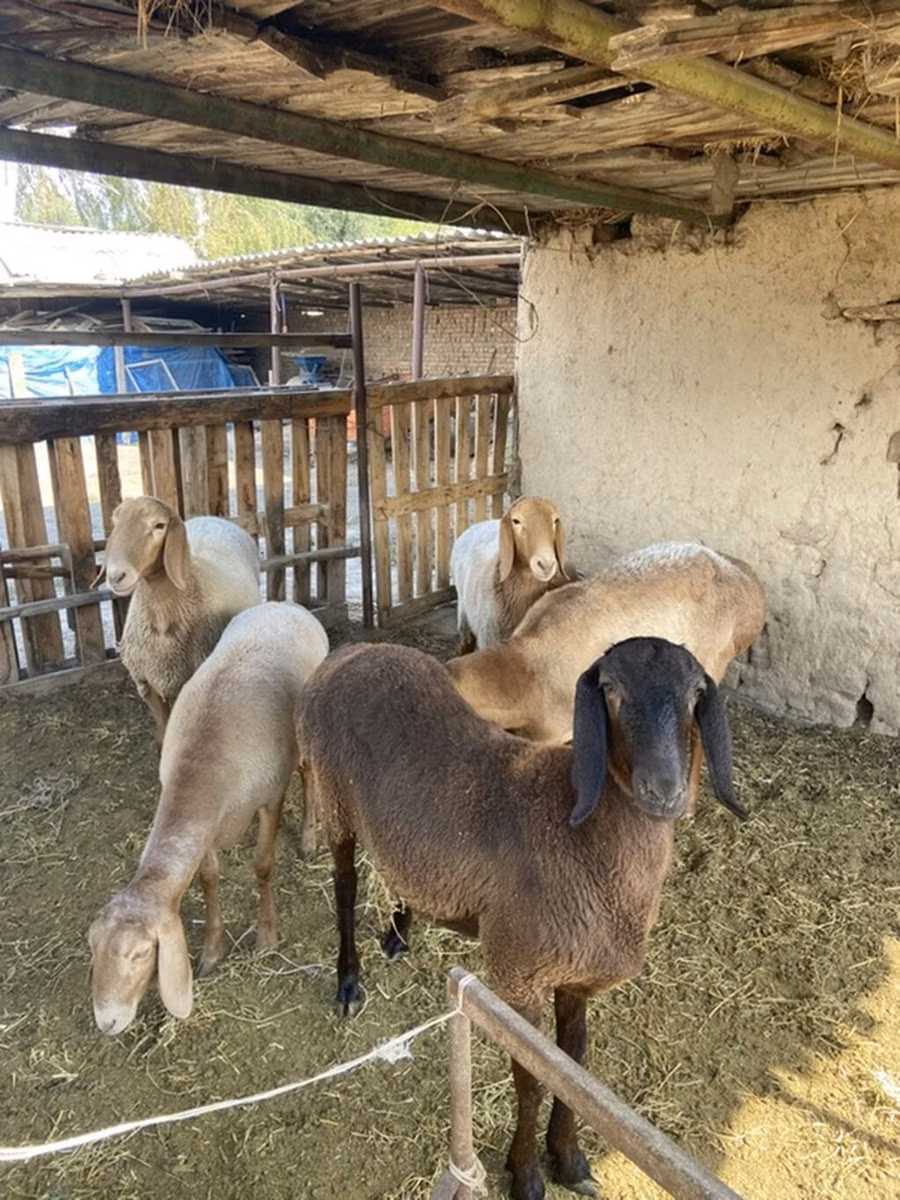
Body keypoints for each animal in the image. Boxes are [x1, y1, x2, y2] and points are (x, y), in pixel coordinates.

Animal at [88, 601, 330, 1035]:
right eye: (93, 948)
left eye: (140, 954)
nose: (107, 1022)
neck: (202, 766)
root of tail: (282, 603)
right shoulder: (206, 828)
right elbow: (209, 878)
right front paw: (213, 951)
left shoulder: (270, 797)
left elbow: (263, 865)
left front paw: (267, 938)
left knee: (307, 774)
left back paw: (307, 836)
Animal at [103, 496, 261, 743]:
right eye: (115, 522)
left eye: (159, 525)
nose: (116, 576)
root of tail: (212, 517)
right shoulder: (147, 684)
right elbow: (162, 731)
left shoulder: (183, 683)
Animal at [296, 636, 742, 1200]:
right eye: (611, 688)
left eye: (696, 692)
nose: (663, 790)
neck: (578, 830)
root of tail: (354, 650)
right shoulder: (519, 973)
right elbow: (531, 1078)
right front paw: (526, 1173)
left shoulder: (575, 978)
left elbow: (573, 1066)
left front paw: (569, 1159)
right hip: (333, 798)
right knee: (345, 886)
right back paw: (349, 982)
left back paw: (399, 934)